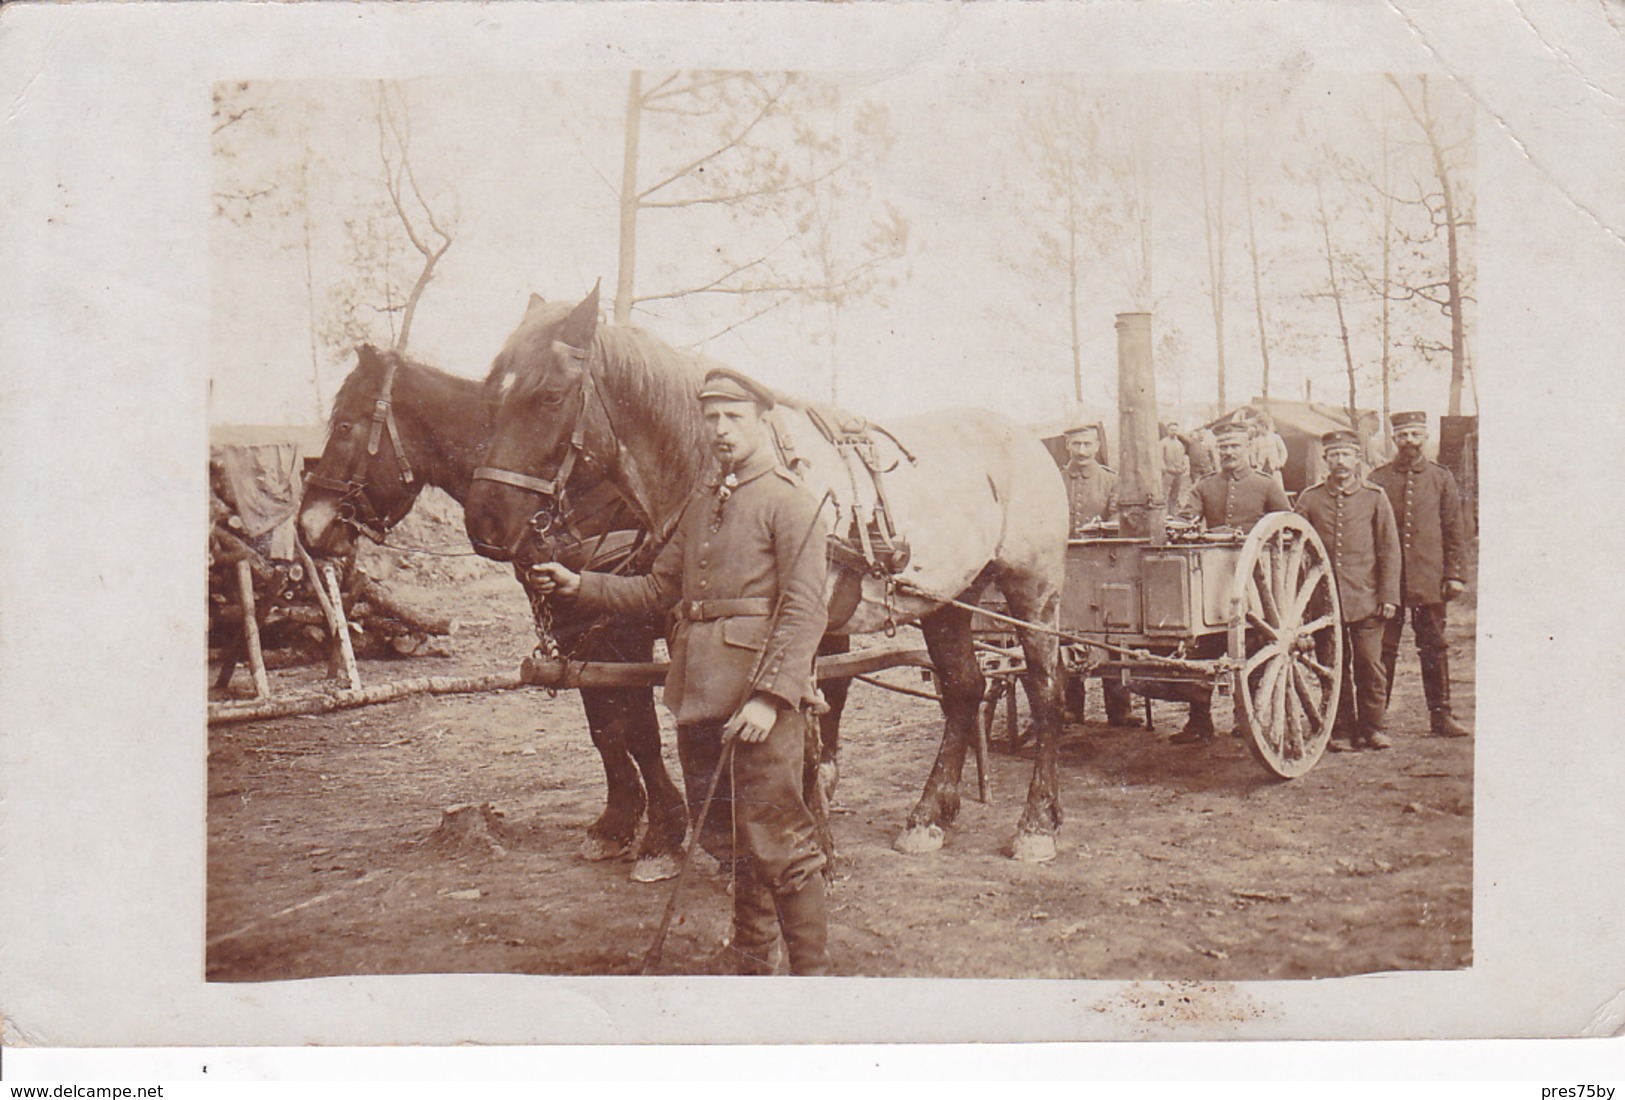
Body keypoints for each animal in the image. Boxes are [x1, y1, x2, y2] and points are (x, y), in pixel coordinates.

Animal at [299, 347, 692, 877]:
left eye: (345, 425)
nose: (307, 526)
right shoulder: (577, 632)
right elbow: (605, 730)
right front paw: (617, 822)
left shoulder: (624, 633)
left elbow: (641, 732)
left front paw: (664, 835)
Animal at [458, 287, 1072, 864]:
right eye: (490, 397)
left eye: (550, 396)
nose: (484, 523)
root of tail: (1025, 438)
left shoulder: (795, 634)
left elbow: (798, 736)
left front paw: (814, 848)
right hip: (947, 601)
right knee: (965, 691)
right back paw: (928, 815)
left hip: (1034, 595)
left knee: (1045, 691)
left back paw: (1036, 823)